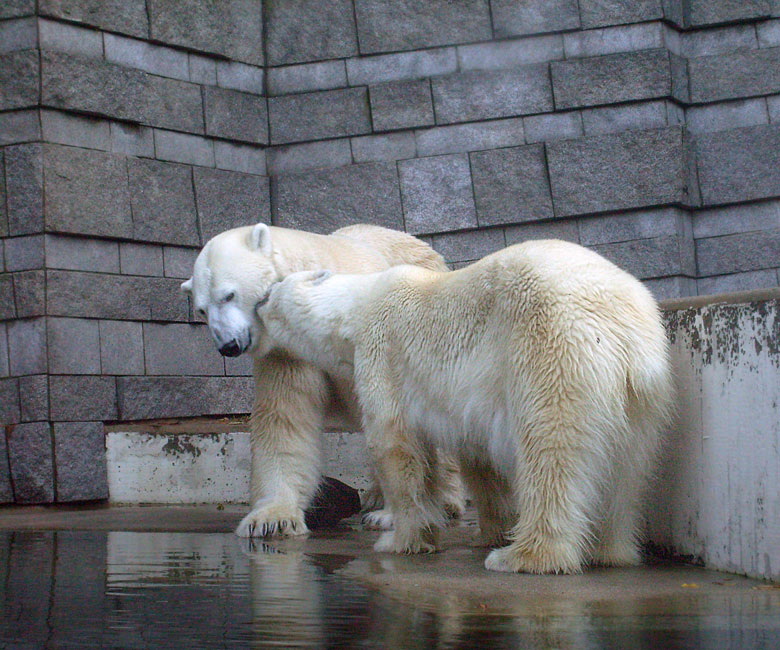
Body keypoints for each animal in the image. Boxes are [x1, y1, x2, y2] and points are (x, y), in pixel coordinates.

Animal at [181, 223, 464, 536]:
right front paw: (272, 519)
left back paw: (446, 500)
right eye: (201, 310)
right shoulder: (288, 351)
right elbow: (285, 417)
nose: (228, 346)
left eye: (229, 295)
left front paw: (392, 515)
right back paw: (376, 496)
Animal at [258, 239, 676, 572]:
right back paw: (610, 550)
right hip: (644, 391)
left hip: (551, 349)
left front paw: (401, 538)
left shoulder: (382, 353)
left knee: (550, 451)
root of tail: (623, 326)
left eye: (273, 292)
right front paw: (488, 531)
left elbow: (396, 446)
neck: (356, 308)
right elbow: (476, 457)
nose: (260, 300)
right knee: (626, 467)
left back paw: (524, 556)